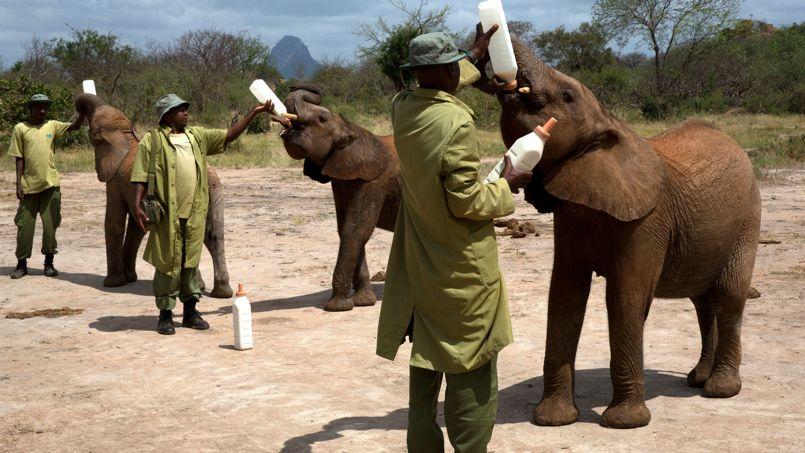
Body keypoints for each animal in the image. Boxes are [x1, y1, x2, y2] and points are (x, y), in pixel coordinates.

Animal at [75, 94, 233, 298]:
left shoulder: (115, 182)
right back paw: (217, 292)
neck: (126, 134)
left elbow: (114, 222)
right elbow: (137, 226)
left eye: (94, 140)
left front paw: (113, 284)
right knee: (213, 235)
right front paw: (130, 278)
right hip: (214, 192)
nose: (74, 123)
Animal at [279, 84, 401, 312]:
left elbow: (356, 229)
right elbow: (345, 227)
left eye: (322, 118)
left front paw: (337, 307)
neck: (350, 128)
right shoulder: (342, 176)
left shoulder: (374, 181)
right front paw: (363, 302)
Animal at [474, 39, 761, 428]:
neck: (609, 122)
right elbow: (564, 295)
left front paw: (624, 423)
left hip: (748, 217)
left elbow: (625, 298)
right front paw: (552, 419)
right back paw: (697, 379)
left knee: (728, 295)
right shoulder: (571, 214)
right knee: (702, 301)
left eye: (567, 96)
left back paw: (720, 389)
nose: (488, 41)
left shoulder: (648, 221)